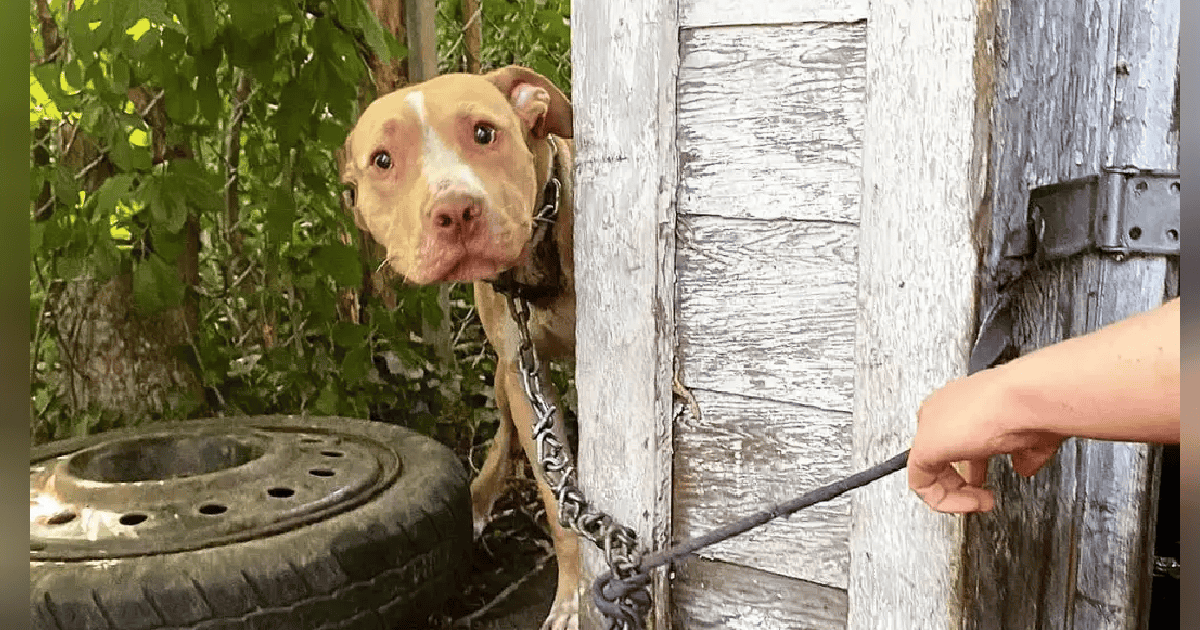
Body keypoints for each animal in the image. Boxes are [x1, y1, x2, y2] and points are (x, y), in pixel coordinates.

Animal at [340, 66, 581, 630]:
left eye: (484, 133)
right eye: (382, 160)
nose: (454, 210)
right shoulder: (521, 371)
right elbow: (556, 496)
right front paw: (573, 593)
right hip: (503, 379)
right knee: (508, 435)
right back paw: (476, 499)